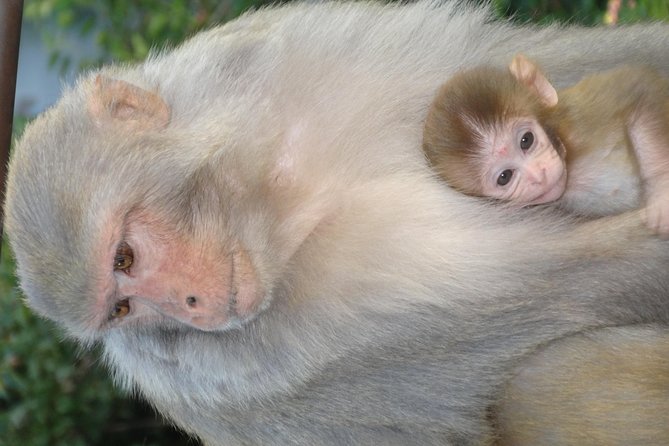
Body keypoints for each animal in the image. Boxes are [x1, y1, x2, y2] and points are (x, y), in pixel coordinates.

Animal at [422, 55, 668, 233]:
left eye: (526, 140)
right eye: (505, 177)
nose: (538, 175)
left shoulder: (579, 119)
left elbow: (640, 86)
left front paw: (662, 193)